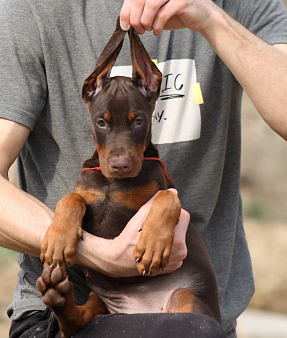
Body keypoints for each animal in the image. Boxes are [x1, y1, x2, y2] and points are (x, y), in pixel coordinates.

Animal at [36, 17, 223, 338]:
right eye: (102, 122)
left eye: (139, 121)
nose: (120, 165)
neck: (113, 183)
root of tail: (141, 311)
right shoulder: (89, 187)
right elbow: (71, 198)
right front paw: (58, 239)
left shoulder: (166, 189)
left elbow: (166, 198)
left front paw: (153, 243)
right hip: (100, 303)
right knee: (76, 322)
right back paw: (56, 293)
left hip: (183, 297)